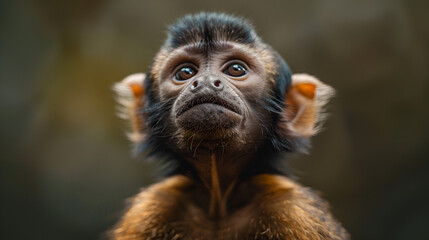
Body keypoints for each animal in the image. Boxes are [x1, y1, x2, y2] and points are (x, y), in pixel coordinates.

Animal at [109, 12, 348, 240]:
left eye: (235, 69)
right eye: (185, 72)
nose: (205, 82)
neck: (219, 202)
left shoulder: (293, 210)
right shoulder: (151, 208)